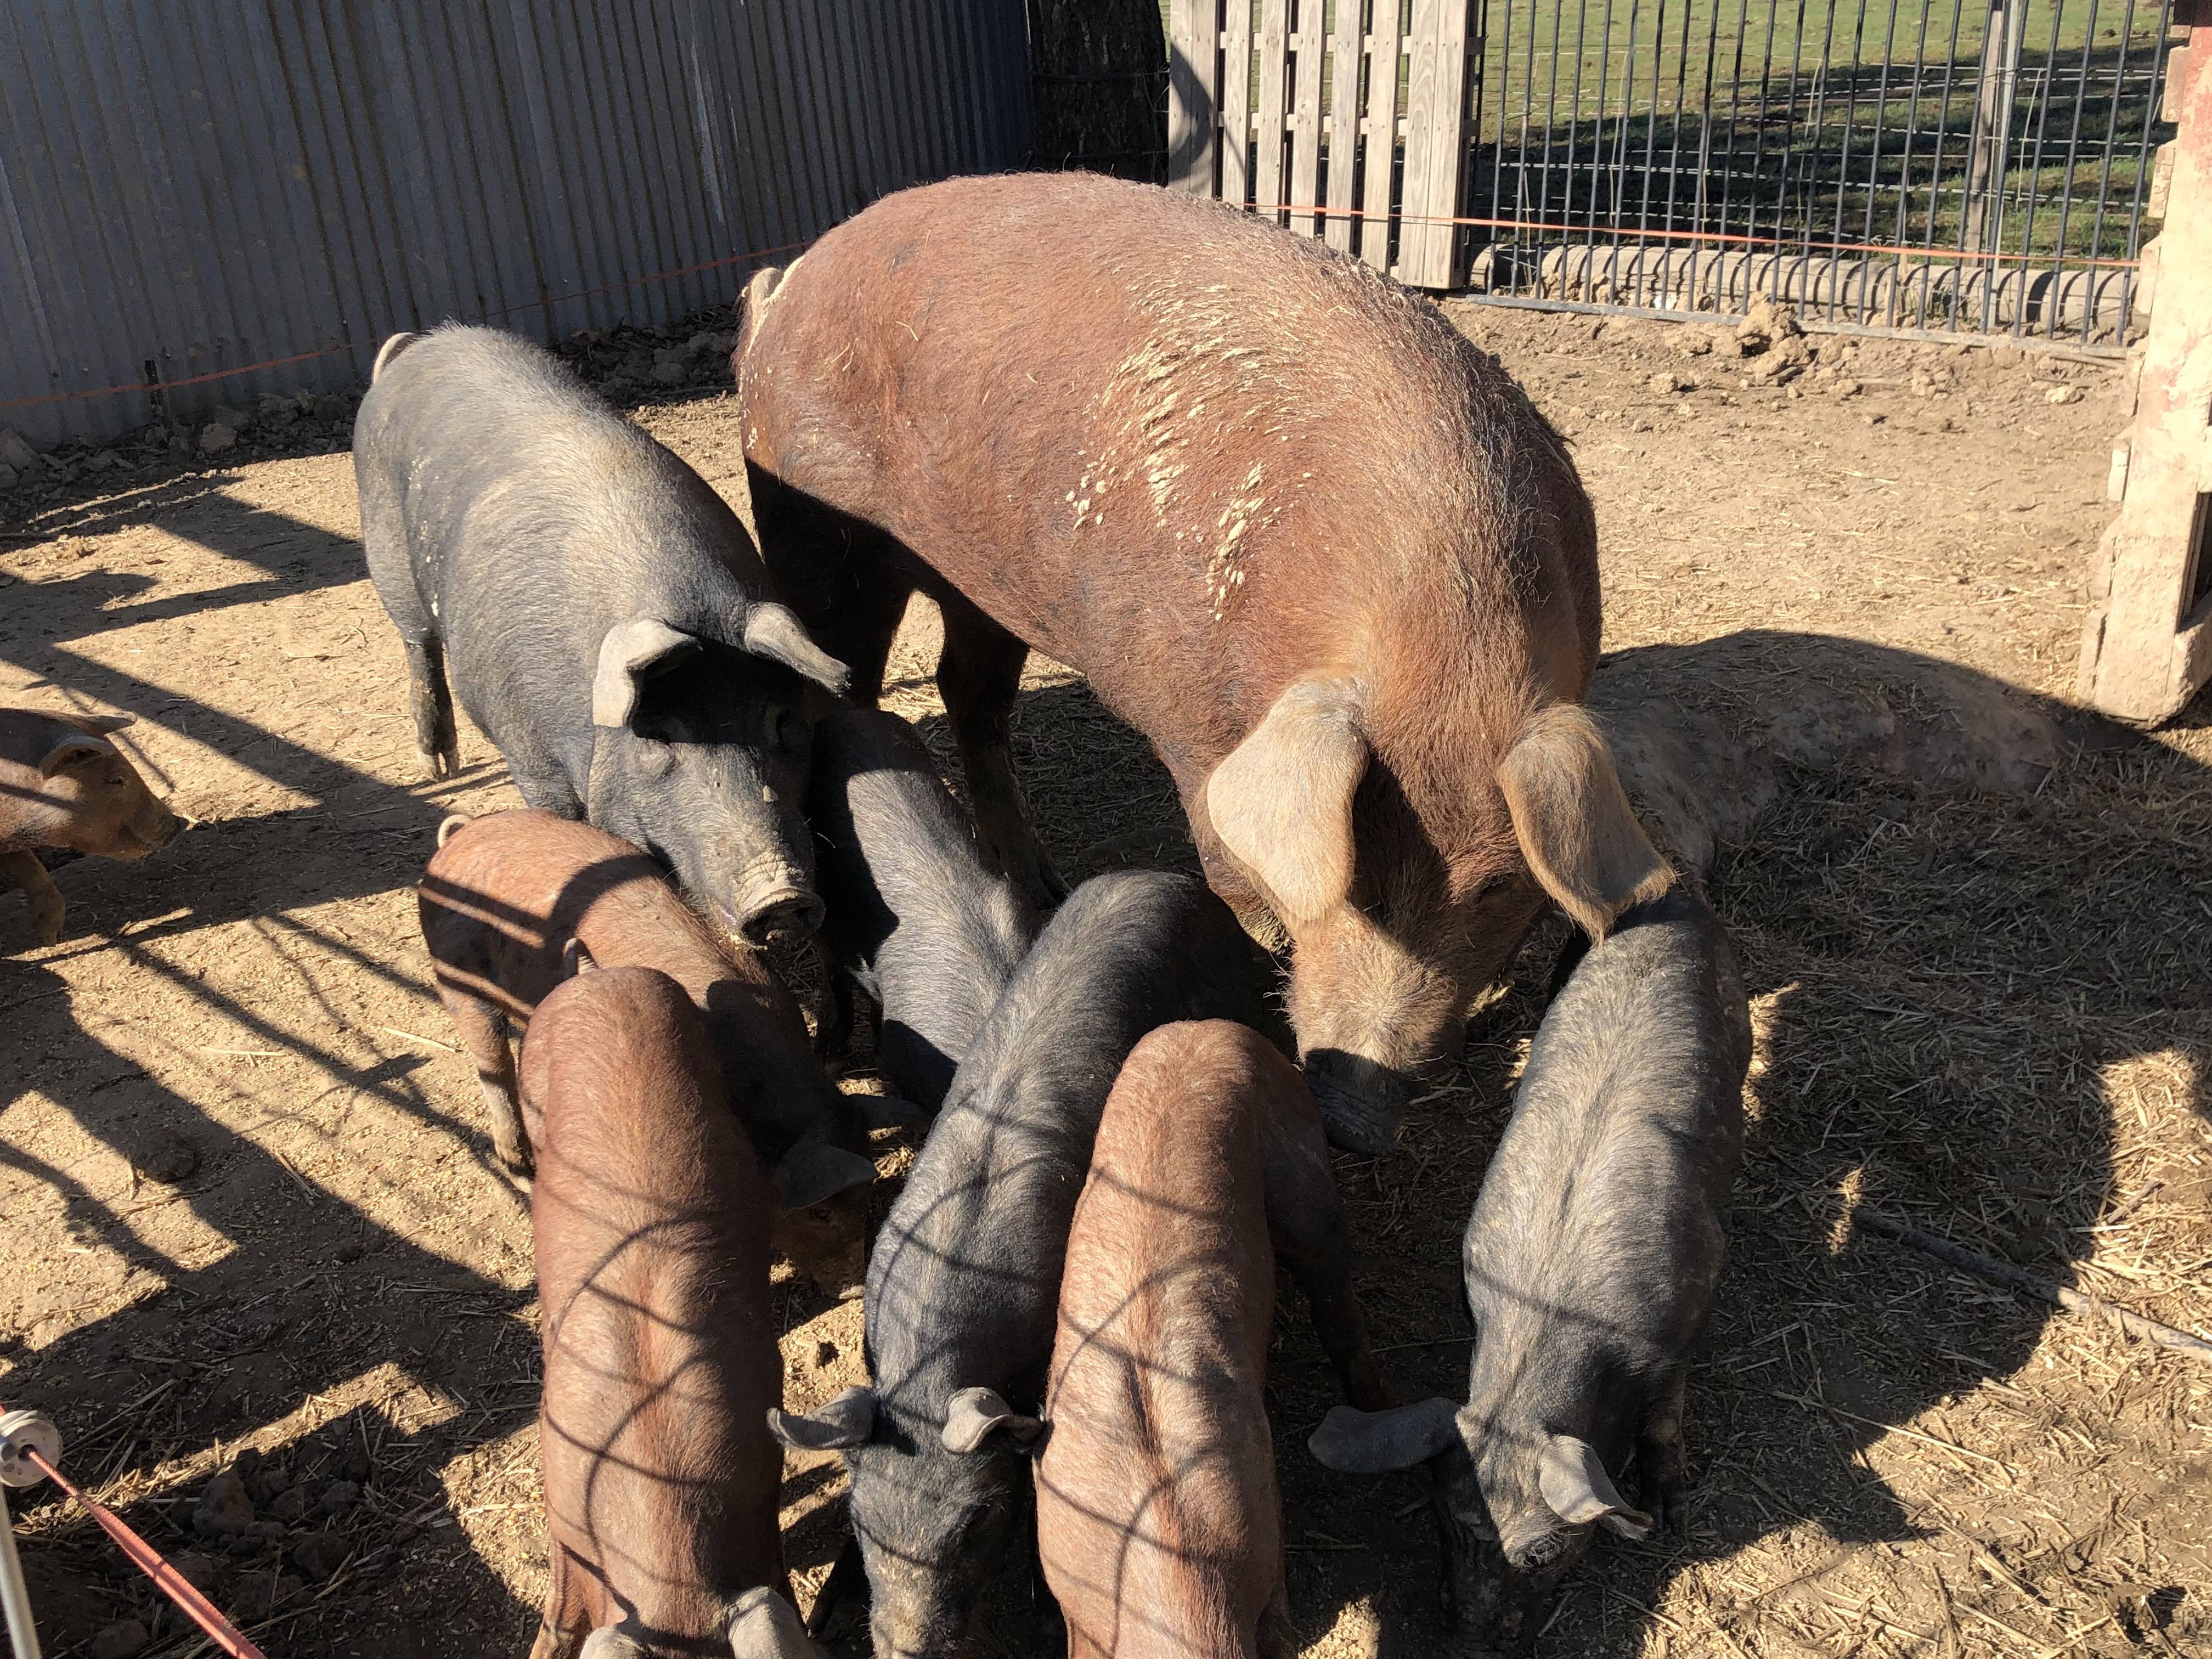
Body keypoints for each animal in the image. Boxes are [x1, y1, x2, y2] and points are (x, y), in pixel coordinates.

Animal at [355, 323, 848, 944]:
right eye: (658, 737)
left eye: (782, 722)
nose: (780, 895)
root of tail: (420, 345)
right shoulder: (528, 749)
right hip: (388, 562)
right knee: (417, 642)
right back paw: (439, 767)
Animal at [419, 809, 875, 1296]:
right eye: (821, 1212)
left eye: (866, 1198)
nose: (855, 1288)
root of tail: (461, 836)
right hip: (456, 978)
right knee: (493, 1066)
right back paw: (522, 1172)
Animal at [765, 871, 1325, 1658]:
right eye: (859, 1520)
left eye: (974, 1523)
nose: (908, 1646)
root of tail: (1164, 878)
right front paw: (821, 1617)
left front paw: (1041, 1608)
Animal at [1306, 883, 1751, 1655]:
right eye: (1443, 1520)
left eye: (1542, 1552)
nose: (1468, 1645)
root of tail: (1671, 893)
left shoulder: (1690, 1308)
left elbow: (1666, 1416)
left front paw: (1671, 1520)